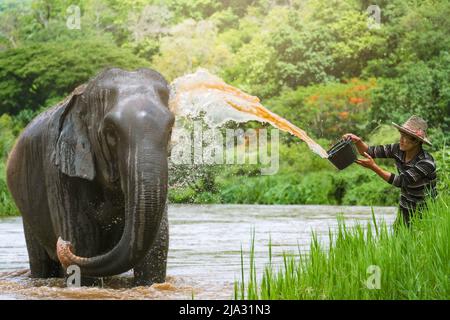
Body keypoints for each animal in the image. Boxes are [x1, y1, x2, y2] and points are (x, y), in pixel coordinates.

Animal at [5, 67, 174, 284]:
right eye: (110, 132)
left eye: (170, 129)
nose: (64, 244)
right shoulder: (60, 172)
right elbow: (83, 245)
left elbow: (155, 250)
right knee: (41, 262)